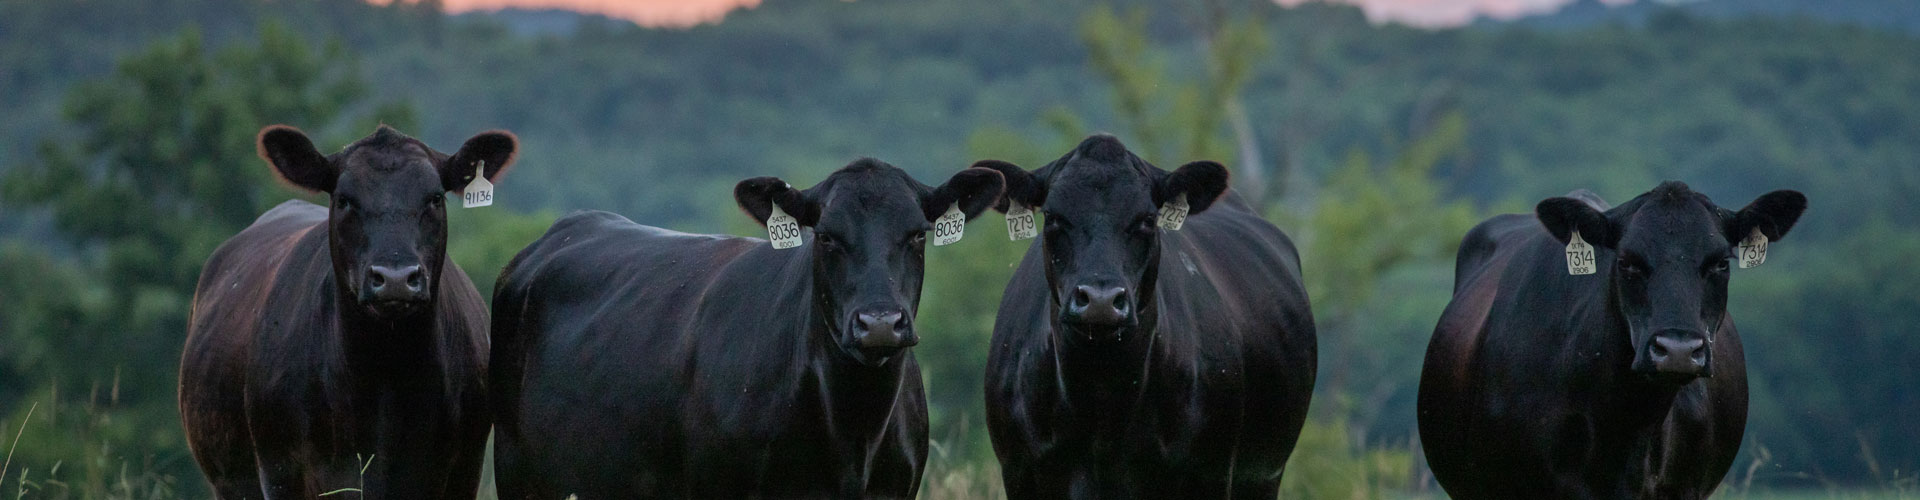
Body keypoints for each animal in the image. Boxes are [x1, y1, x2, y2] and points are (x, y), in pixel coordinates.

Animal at [983, 134, 1313, 496]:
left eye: (1147, 219)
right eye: (1053, 217)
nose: (1100, 300)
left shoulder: (1211, 473)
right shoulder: (1020, 471)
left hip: (1263, 477)